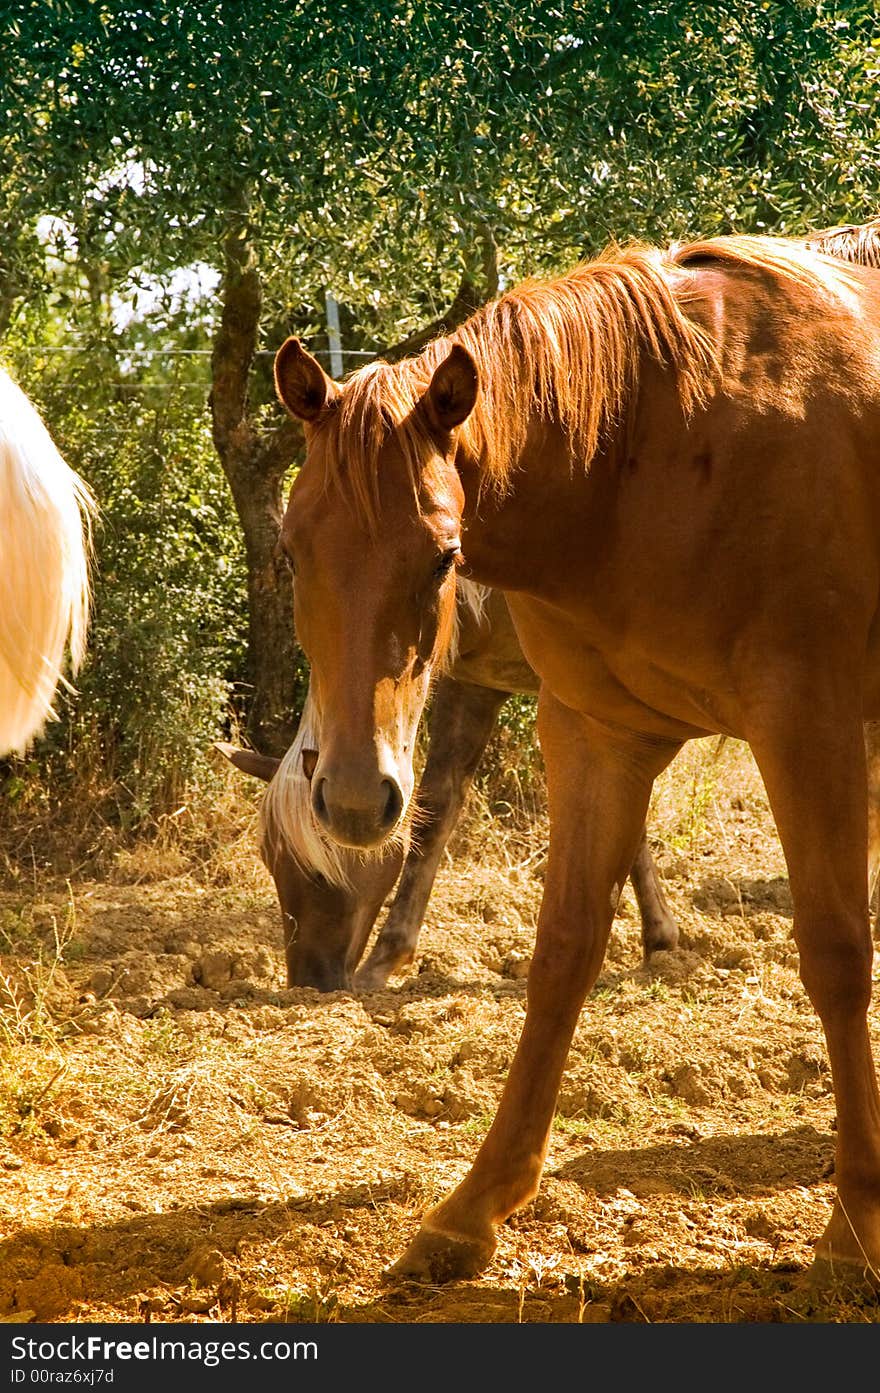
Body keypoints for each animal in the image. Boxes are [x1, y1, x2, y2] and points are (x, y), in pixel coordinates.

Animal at [218, 576, 673, 991]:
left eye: (320, 871)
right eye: (271, 862)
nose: (309, 982)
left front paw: (661, 939)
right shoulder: (474, 686)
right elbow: (436, 809)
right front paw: (386, 960)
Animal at [270, 228, 880, 1281]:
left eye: (443, 555)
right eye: (292, 546)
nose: (351, 799)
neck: (650, 447)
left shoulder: (814, 725)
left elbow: (837, 952)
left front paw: (854, 1226)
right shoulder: (594, 733)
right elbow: (560, 953)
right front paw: (474, 1204)